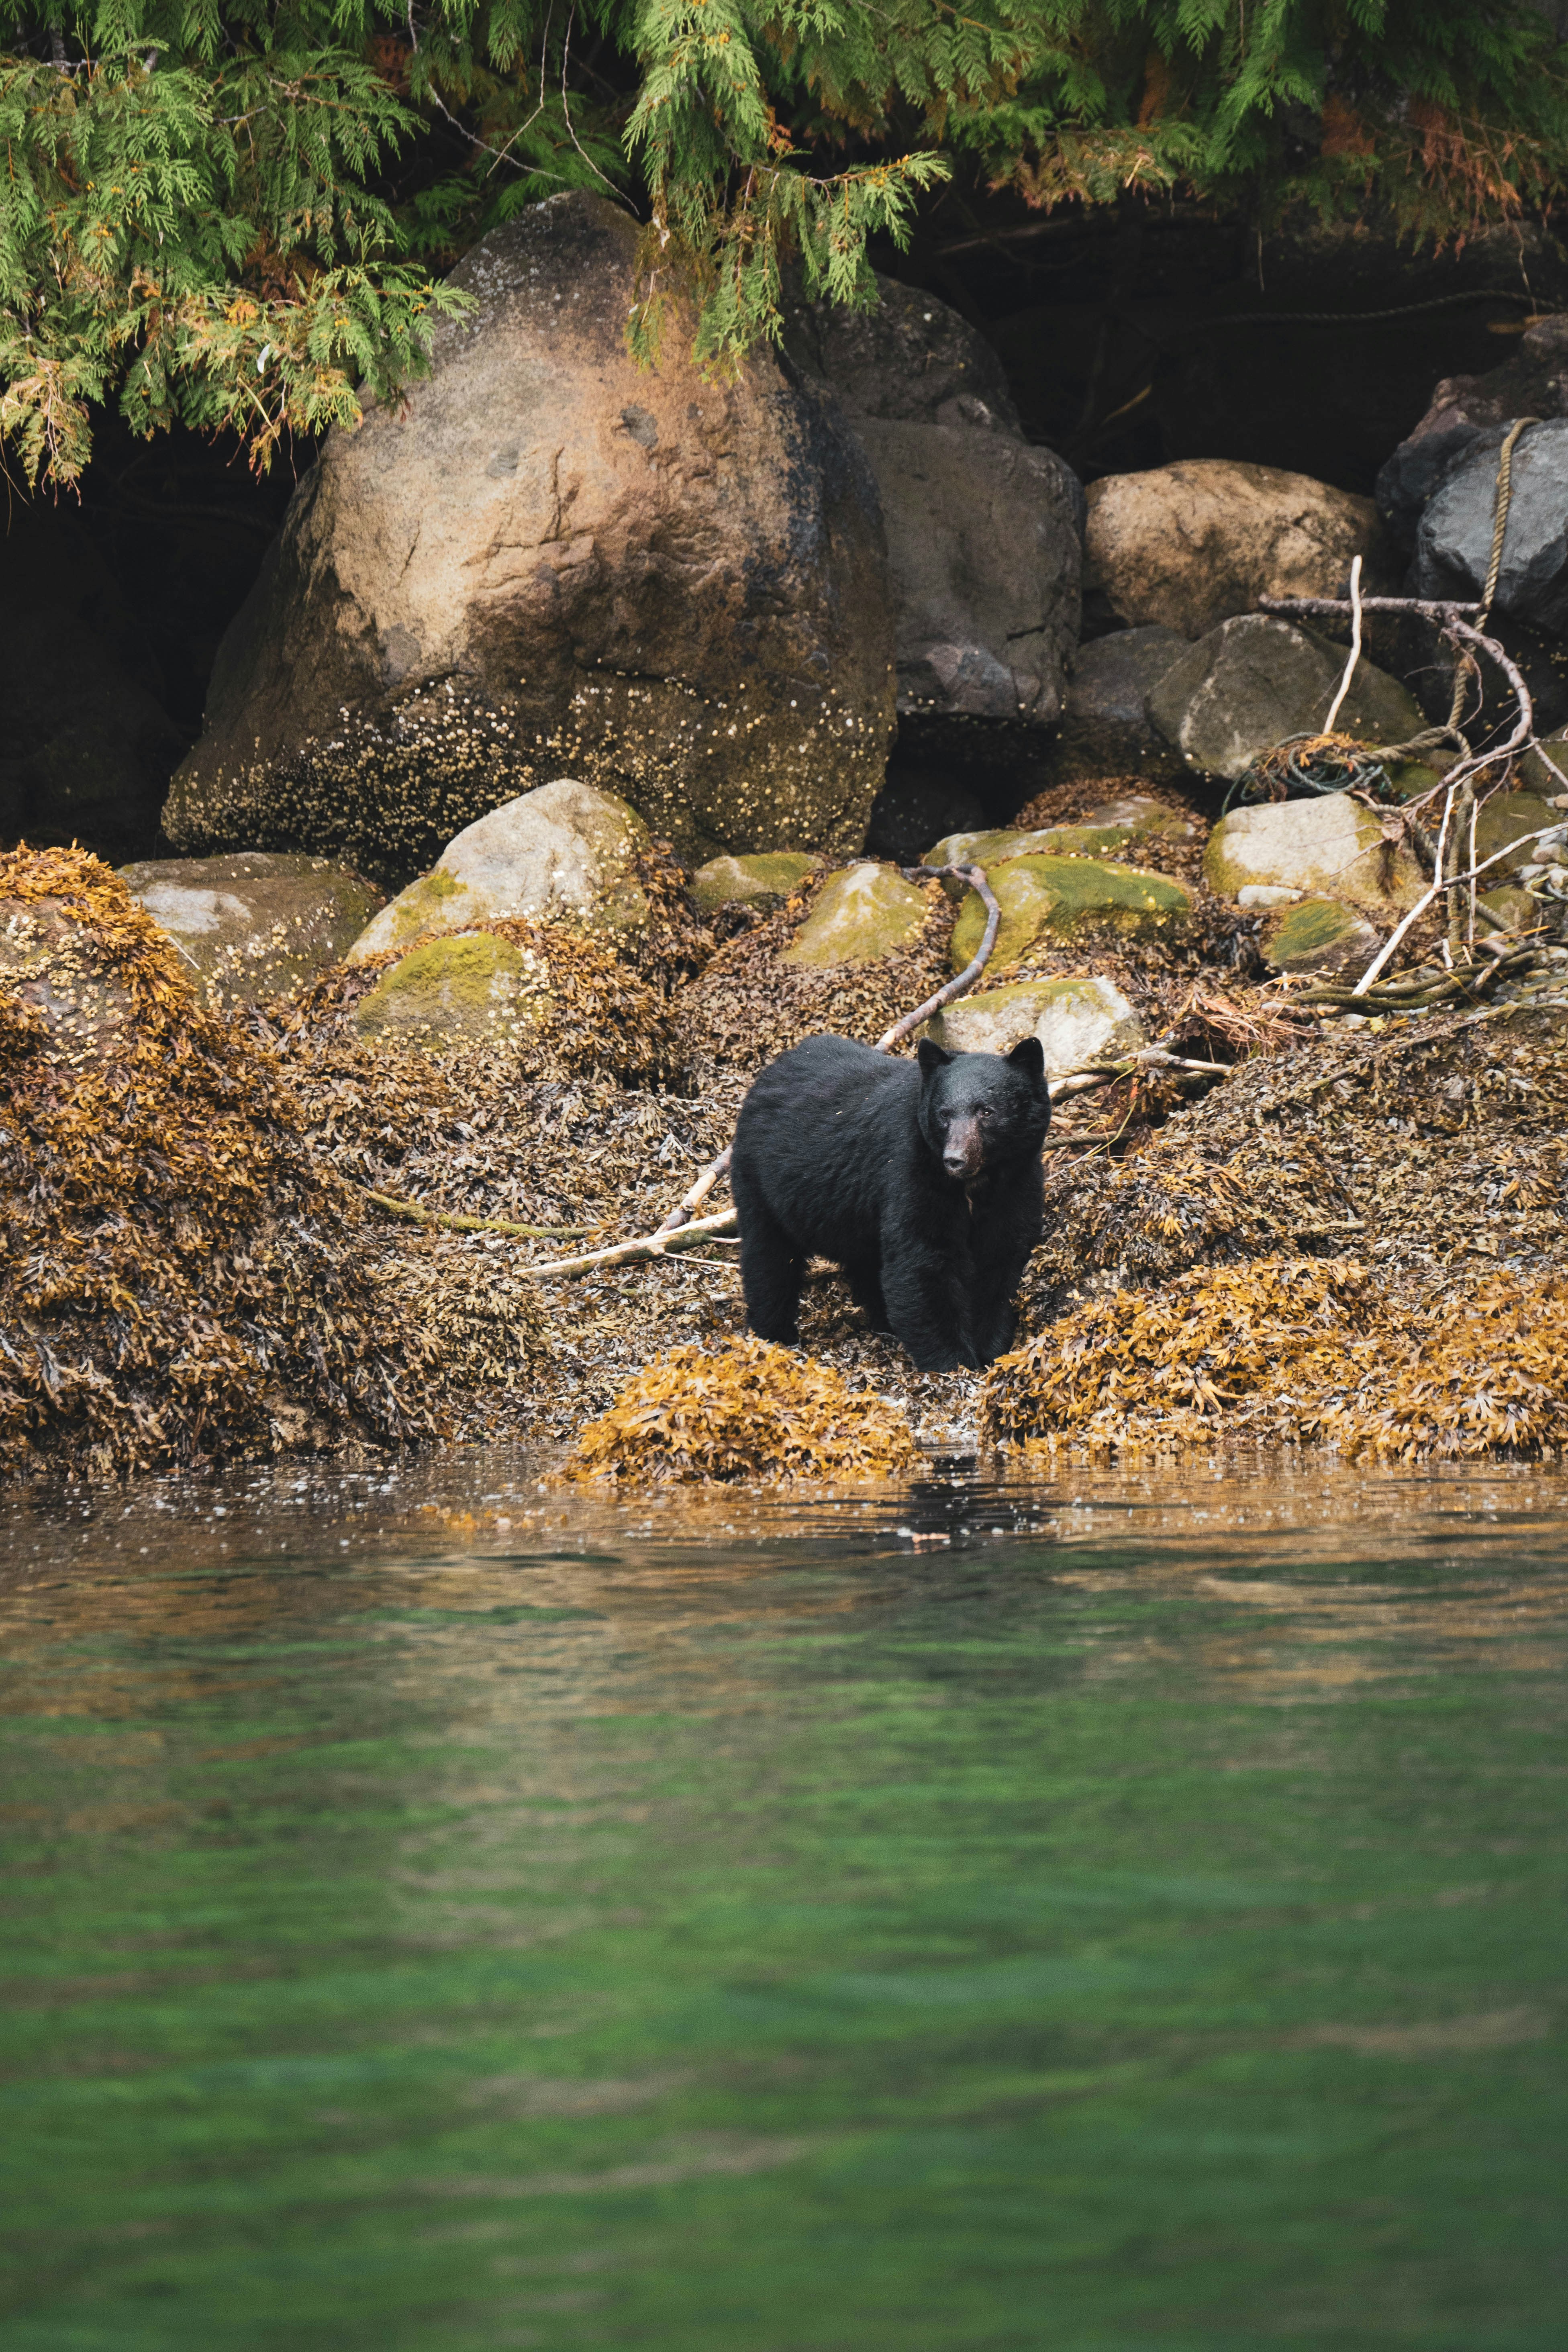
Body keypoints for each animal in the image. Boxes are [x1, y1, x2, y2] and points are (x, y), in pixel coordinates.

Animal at [729, 1032, 1052, 1373]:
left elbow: (1001, 1255)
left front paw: (992, 1351)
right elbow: (922, 1260)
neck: (977, 1181)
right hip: (761, 1180)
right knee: (769, 1259)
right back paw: (776, 1336)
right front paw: (953, 1364)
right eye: (944, 1114)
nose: (955, 1160)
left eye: (986, 1111)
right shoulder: (911, 1166)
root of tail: (770, 1072)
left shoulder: (1017, 1178)